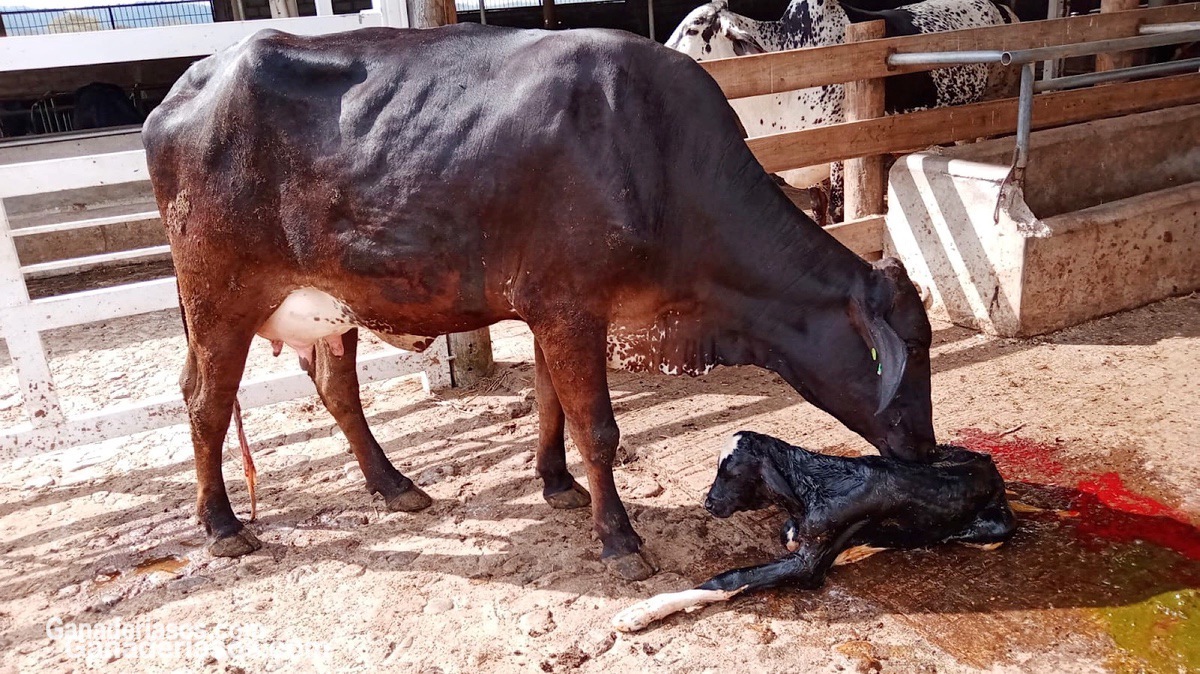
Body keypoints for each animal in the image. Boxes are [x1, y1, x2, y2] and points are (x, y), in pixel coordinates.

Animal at [145, 24, 936, 578]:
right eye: (905, 354)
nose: (927, 451)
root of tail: (192, 83)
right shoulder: (570, 307)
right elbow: (599, 428)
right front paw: (618, 539)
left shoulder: (553, 310)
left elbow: (553, 402)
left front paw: (557, 484)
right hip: (220, 294)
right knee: (205, 400)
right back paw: (222, 527)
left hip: (331, 304)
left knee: (337, 387)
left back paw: (394, 486)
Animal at [614, 429, 1017, 628]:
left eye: (729, 473)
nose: (708, 504)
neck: (810, 484)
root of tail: (990, 464)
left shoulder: (806, 567)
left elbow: (730, 577)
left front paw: (641, 611)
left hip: (996, 527)